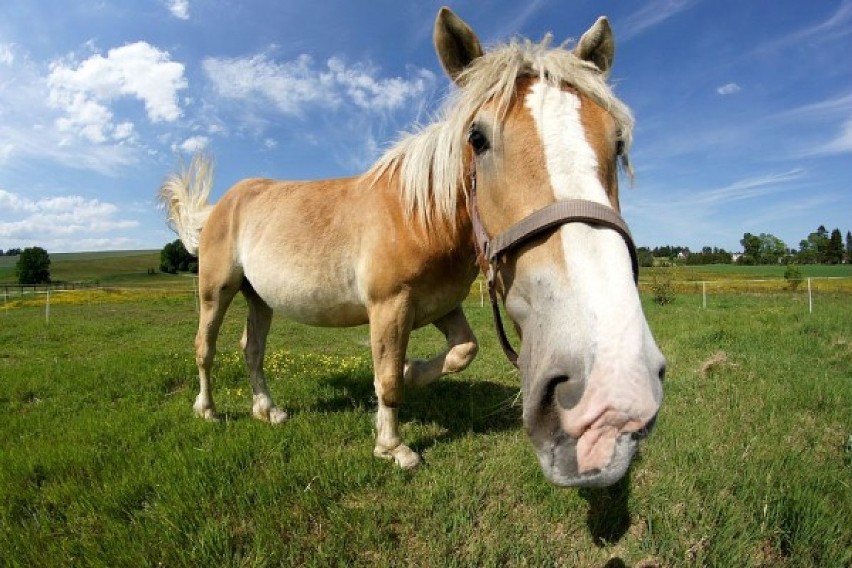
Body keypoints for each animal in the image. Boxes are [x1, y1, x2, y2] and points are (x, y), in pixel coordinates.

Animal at [160, 7, 664, 488]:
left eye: (617, 140)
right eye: (477, 137)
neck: (420, 215)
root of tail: (223, 204)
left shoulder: (440, 305)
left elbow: (462, 350)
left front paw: (412, 372)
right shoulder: (390, 307)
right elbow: (386, 378)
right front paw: (393, 447)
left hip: (259, 298)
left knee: (252, 349)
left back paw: (267, 409)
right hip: (217, 291)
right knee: (205, 348)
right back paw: (207, 409)